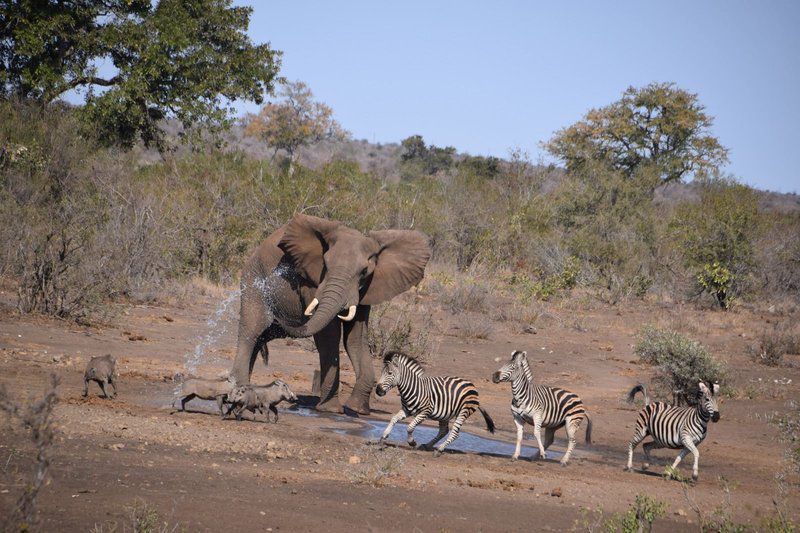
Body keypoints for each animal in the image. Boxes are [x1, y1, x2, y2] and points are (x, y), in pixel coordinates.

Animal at [230, 214, 432, 414]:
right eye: (325, 265)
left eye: (364, 272)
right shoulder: (313, 281)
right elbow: (329, 334)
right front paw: (331, 409)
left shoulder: (366, 289)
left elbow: (355, 338)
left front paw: (358, 409)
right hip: (253, 278)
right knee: (252, 330)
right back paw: (242, 389)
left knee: (261, 337)